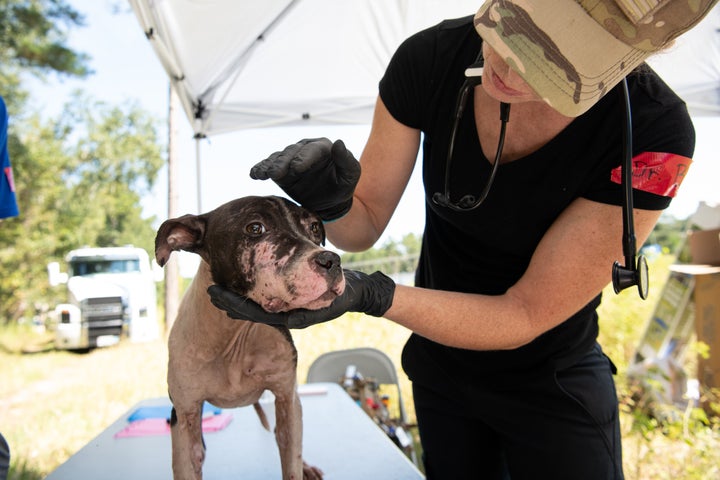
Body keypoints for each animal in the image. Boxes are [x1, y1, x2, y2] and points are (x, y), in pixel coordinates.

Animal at [153, 196, 344, 480]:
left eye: (314, 228)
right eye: (255, 228)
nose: (331, 260)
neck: (237, 333)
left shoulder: (287, 397)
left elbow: (291, 459)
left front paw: (299, 467)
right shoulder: (185, 414)